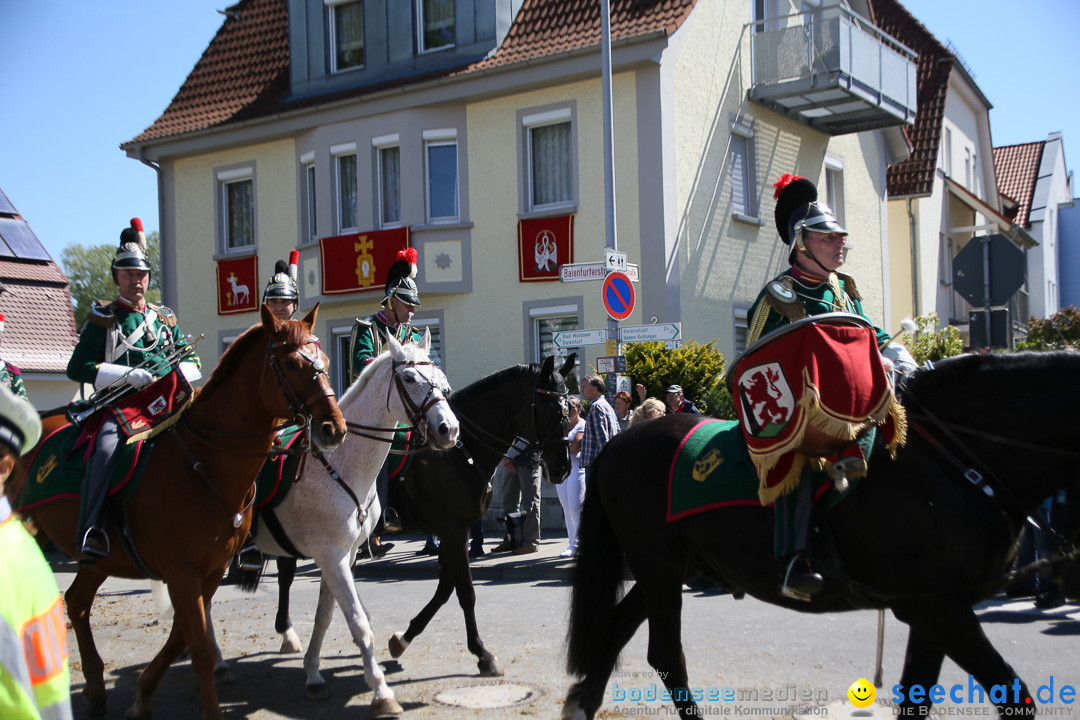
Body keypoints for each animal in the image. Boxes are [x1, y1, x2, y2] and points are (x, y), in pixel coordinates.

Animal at [9, 306, 345, 720]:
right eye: (292, 363)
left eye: (324, 360)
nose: (333, 428)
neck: (205, 459)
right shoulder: (181, 573)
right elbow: (198, 647)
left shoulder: (211, 571)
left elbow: (181, 638)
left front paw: (141, 695)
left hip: (97, 560)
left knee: (77, 603)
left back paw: (94, 689)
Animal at [205, 330, 455, 716]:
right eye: (410, 377)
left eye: (441, 378)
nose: (449, 429)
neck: (341, 463)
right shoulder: (331, 555)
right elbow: (357, 621)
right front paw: (381, 692)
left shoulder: (342, 556)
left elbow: (326, 615)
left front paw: (312, 675)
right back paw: (215, 663)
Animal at [270, 354, 574, 677]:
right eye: (551, 408)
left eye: (570, 408)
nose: (563, 468)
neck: (459, 452)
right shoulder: (454, 531)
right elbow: (465, 591)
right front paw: (482, 654)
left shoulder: (451, 532)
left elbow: (445, 588)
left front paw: (402, 639)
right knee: (286, 571)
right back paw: (287, 632)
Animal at [565, 349, 1080, 720]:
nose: (1067, 574)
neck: (952, 462)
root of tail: (618, 443)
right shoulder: (937, 609)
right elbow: (1012, 695)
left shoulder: (936, 608)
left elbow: (918, 698)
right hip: (659, 567)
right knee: (667, 655)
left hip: (670, 568)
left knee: (619, 630)